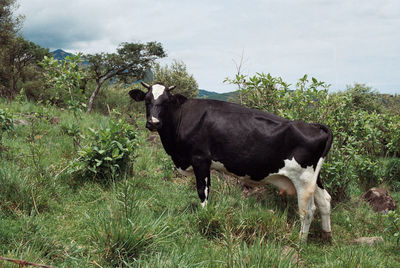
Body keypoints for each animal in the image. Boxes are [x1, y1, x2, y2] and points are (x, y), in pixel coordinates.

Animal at [130, 81, 332, 241]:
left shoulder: (200, 159)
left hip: (303, 179)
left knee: (307, 210)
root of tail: (313, 126)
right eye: (147, 100)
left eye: (166, 102)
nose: (153, 122)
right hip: (314, 178)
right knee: (325, 201)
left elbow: (203, 191)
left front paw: (204, 219)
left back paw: (300, 241)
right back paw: (326, 236)